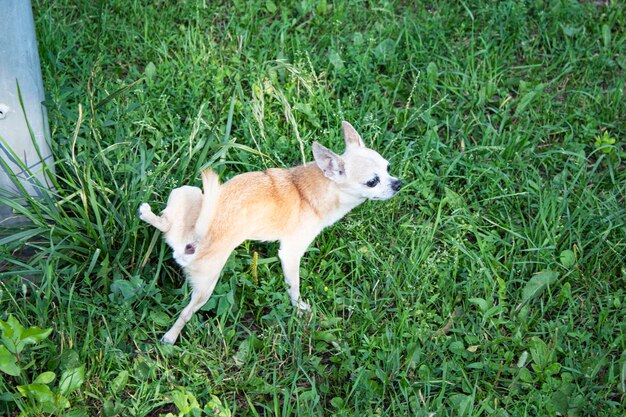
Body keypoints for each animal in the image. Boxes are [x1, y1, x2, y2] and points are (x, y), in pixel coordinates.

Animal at [140, 121, 402, 344]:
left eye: (389, 168)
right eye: (372, 182)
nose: (398, 183)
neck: (318, 188)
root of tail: (194, 238)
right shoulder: (291, 253)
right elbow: (294, 286)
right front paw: (300, 308)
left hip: (188, 193)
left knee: (163, 220)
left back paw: (148, 214)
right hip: (208, 282)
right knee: (186, 312)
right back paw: (170, 338)